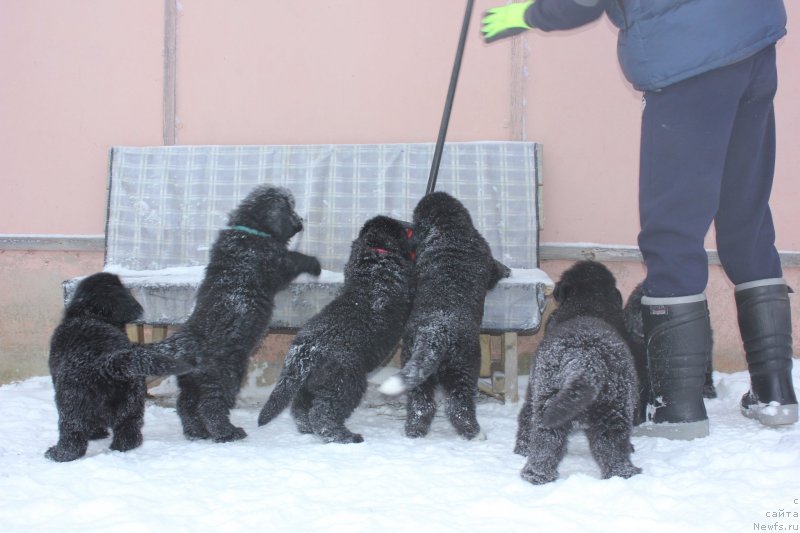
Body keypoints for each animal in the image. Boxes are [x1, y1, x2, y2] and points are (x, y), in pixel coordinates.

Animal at [47, 272, 191, 460]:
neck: (91, 314)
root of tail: (107, 363)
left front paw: (96, 434)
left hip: (71, 401)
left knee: (73, 433)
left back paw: (57, 453)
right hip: (131, 400)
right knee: (128, 430)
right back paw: (122, 447)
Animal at [130, 185, 318, 442]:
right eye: (290, 209)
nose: (301, 221)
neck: (248, 230)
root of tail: (189, 338)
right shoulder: (275, 263)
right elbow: (294, 258)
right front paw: (315, 264)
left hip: (191, 380)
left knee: (186, 406)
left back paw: (197, 433)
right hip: (224, 375)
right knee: (210, 406)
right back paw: (228, 432)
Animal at [260, 214, 416, 442]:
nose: (411, 225)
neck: (375, 256)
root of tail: (303, 352)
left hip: (309, 383)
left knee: (301, 408)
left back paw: (307, 429)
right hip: (345, 381)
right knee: (323, 413)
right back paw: (345, 437)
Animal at [380, 193, 510, 438]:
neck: (448, 230)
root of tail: (435, 333)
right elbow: (495, 268)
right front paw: (505, 269)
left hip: (416, 366)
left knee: (422, 405)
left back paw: (414, 431)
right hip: (464, 368)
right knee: (458, 406)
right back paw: (475, 434)